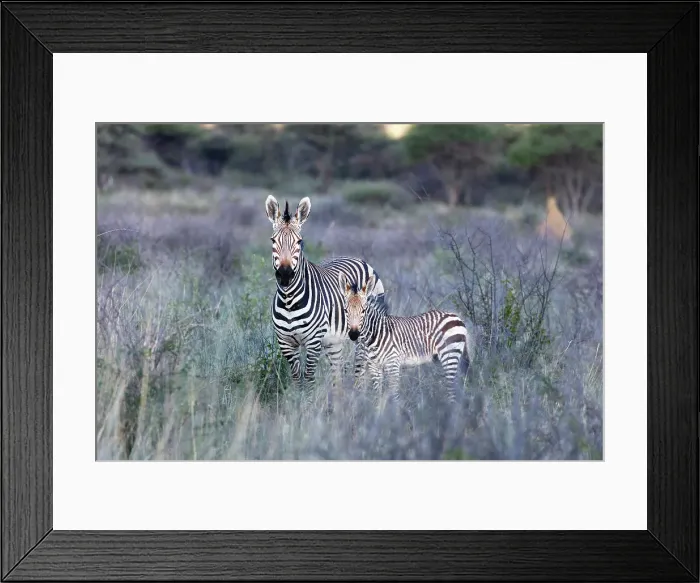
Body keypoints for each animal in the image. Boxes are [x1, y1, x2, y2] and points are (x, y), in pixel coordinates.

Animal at [265, 195, 386, 402]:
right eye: (273, 240)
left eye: (299, 242)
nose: (285, 275)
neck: (289, 301)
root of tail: (358, 259)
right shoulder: (286, 343)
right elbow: (297, 378)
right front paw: (297, 405)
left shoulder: (313, 342)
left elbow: (309, 378)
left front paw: (307, 406)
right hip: (333, 342)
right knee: (338, 375)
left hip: (366, 335)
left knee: (361, 370)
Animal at [340, 271, 471, 404]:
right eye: (345, 310)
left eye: (363, 310)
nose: (353, 334)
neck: (374, 335)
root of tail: (456, 317)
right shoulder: (374, 366)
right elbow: (378, 395)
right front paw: (378, 409)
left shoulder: (393, 364)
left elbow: (395, 395)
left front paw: (395, 410)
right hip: (441, 358)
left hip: (449, 355)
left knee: (452, 389)